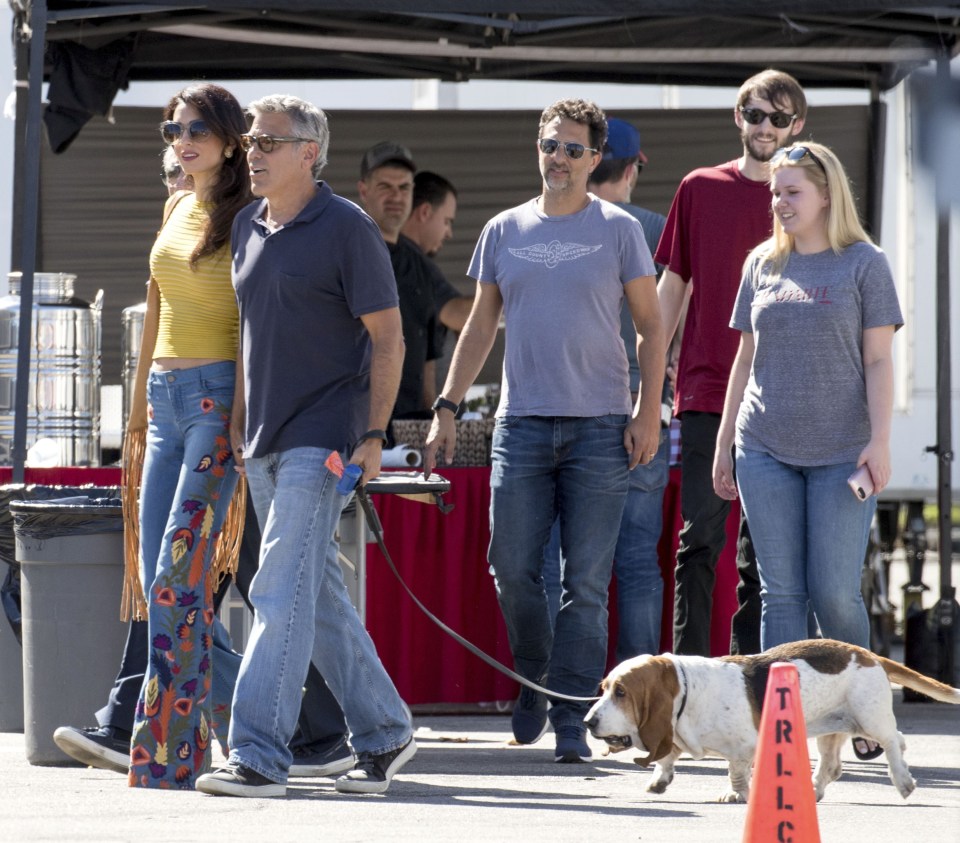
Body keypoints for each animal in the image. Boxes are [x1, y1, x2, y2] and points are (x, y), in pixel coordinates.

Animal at [584, 640, 960, 804]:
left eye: (621, 692)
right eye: (604, 687)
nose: (588, 721)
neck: (688, 689)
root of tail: (869, 653)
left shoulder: (742, 749)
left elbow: (736, 772)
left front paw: (736, 795)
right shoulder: (673, 732)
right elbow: (667, 756)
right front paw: (659, 780)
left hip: (870, 718)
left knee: (896, 741)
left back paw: (903, 781)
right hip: (832, 727)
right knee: (832, 765)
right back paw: (813, 790)